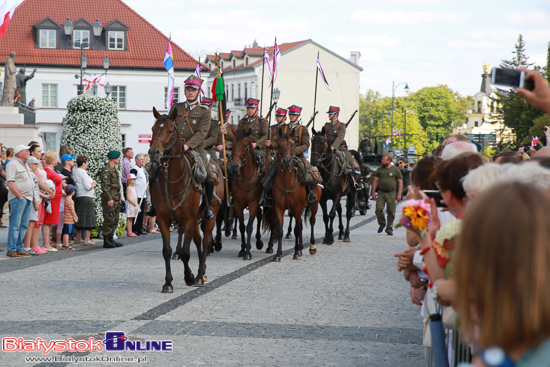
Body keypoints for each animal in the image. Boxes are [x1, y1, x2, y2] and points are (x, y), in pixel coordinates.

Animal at [149, 106, 211, 294]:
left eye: (170, 130)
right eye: (153, 129)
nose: (153, 153)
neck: (174, 181)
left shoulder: (188, 219)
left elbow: (185, 252)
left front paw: (189, 277)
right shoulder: (163, 219)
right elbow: (167, 251)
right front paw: (168, 283)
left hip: (208, 217)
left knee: (205, 242)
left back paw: (199, 276)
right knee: (198, 242)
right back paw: (201, 273)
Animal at [232, 129, 266, 262]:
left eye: (245, 145)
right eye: (232, 144)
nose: (234, 165)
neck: (246, 178)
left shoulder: (253, 203)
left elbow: (249, 227)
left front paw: (247, 253)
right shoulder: (238, 204)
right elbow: (241, 226)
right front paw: (243, 249)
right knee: (260, 215)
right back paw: (258, 242)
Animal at [264, 129, 320, 262]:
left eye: (293, 145)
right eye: (280, 145)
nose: (286, 161)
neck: (286, 182)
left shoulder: (297, 208)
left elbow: (296, 229)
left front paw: (295, 253)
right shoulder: (278, 208)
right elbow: (279, 230)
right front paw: (278, 254)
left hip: (314, 205)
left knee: (311, 221)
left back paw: (311, 246)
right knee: (301, 224)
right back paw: (300, 248)